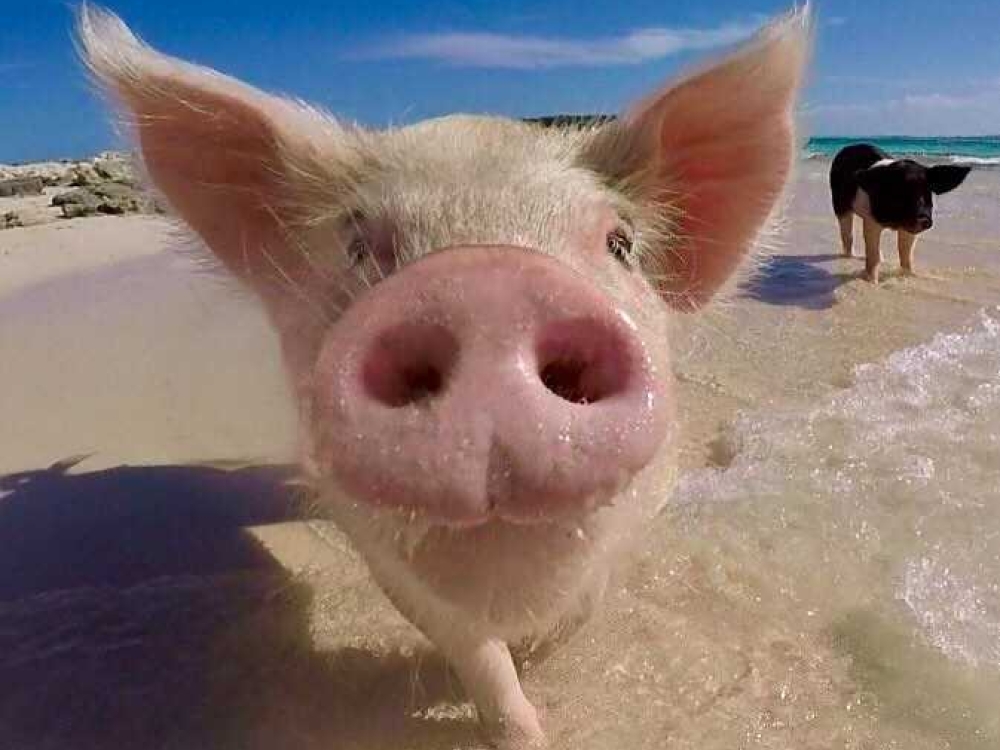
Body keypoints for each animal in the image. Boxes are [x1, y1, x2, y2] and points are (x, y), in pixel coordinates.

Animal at [80, 4, 812, 748]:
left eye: (620, 243)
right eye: (357, 245)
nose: (487, 282)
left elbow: (583, 605)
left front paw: (536, 655)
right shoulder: (372, 543)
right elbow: (469, 645)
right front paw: (518, 728)